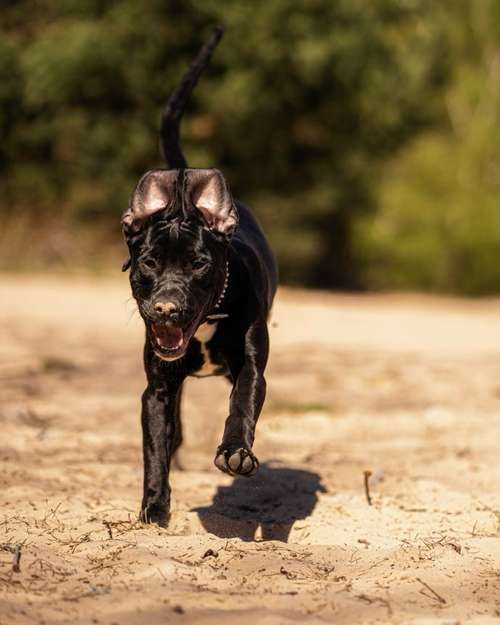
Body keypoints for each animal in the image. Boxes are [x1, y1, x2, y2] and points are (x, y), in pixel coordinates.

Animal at [121, 29, 278, 528]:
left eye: (198, 264)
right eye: (149, 263)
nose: (166, 308)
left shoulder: (251, 366)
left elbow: (242, 405)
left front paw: (235, 452)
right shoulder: (155, 390)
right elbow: (154, 449)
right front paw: (154, 509)